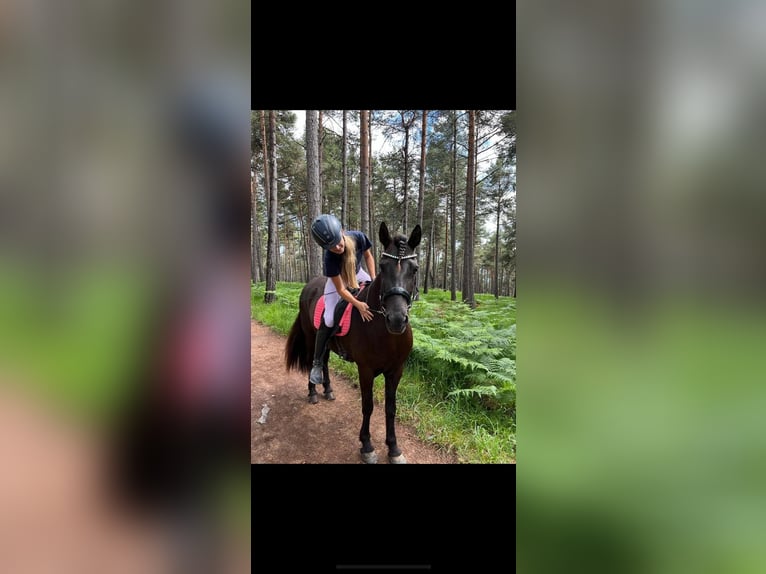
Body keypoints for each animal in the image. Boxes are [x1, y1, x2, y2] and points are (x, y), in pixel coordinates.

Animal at [285, 221, 421, 464]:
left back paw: (328, 389)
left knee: (324, 361)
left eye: (414, 269)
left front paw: (394, 448)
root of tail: (310, 285)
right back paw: (313, 392)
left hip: (327, 345)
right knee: (313, 360)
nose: (397, 320)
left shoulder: (396, 370)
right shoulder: (365, 370)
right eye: (383, 266)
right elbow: (367, 406)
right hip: (311, 337)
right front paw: (367, 446)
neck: (385, 333)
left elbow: (390, 408)